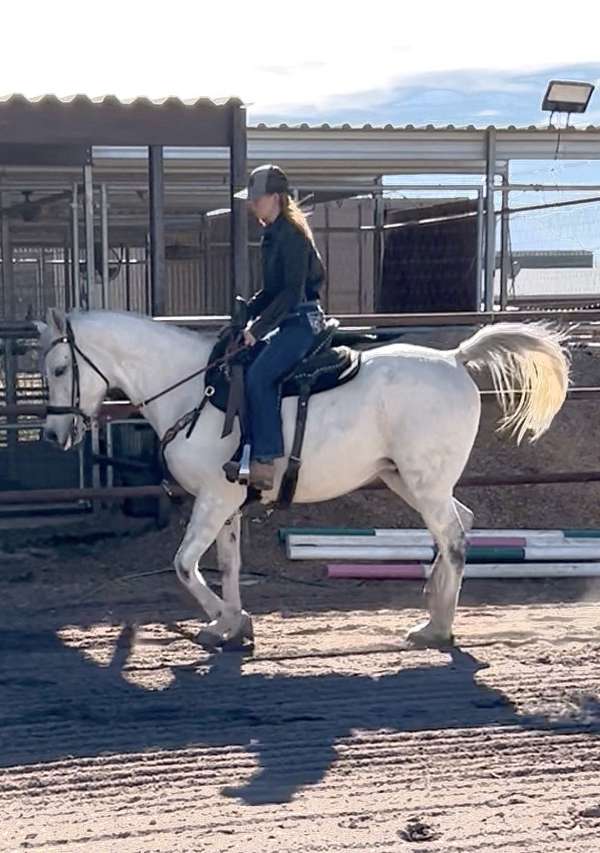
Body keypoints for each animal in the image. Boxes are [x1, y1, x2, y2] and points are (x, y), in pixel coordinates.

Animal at [36, 308, 569, 649]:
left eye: (60, 368)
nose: (53, 433)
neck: (195, 389)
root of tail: (454, 358)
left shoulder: (213, 498)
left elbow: (185, 564)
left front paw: (225, 619)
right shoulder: (227, 501)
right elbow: (228, 564)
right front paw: (233, 625)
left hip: (425, 482)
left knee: (454, 537)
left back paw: (437, 630)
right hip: (409, 480)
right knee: (459, 525)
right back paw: (433, 611)